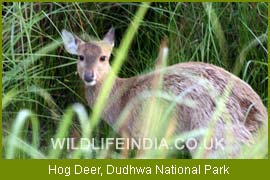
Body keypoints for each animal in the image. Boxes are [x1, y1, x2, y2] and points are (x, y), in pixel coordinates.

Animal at [61, 27, 268, 158]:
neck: (121, 99)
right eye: (80, 57)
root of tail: (259, 116)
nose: (89, 76)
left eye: (103, 57)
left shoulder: (144, 134)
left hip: (210, 141)